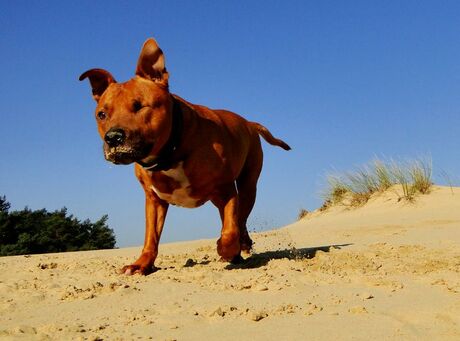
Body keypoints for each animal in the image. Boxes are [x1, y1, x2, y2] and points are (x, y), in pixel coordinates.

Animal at [78, 38, 288, 274]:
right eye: (101, 114)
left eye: (139, 106)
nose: (113, 137)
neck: (170, 153)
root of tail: (249, 123)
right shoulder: (154, 201)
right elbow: (151, 237)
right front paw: (142, 264)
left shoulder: (226, 190)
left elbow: (229, 230)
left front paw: (225, 248)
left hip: (247, 186)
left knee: (239, 218)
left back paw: (239, 246)